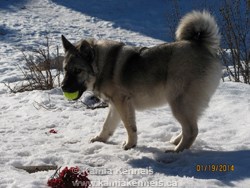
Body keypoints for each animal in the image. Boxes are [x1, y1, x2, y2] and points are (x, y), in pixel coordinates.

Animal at [61, 10, 221, 153]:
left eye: (77, 71)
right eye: (65, 69)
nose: (62, 87)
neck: (101, 65)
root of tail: (200, 45)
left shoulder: (122, 103)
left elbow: (129, 127)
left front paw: (130, 145)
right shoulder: (115, 106)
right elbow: (107, 125)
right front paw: (100, 139)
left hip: (178, 102)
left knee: (192, 130)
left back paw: (177, 151)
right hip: (186, 105)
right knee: (191, 126)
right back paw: (176, 141)